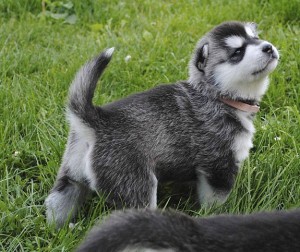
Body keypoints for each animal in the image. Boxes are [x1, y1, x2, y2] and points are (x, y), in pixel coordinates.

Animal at [44, 21, 278, 226]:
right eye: (237, 52)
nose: (268, 47)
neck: (215, 95)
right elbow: (216, 200)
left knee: (58, 201)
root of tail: (95, 121)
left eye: (255, 37)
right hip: (136, 185)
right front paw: (220, 215)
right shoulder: (219, 166)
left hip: (70, 178)